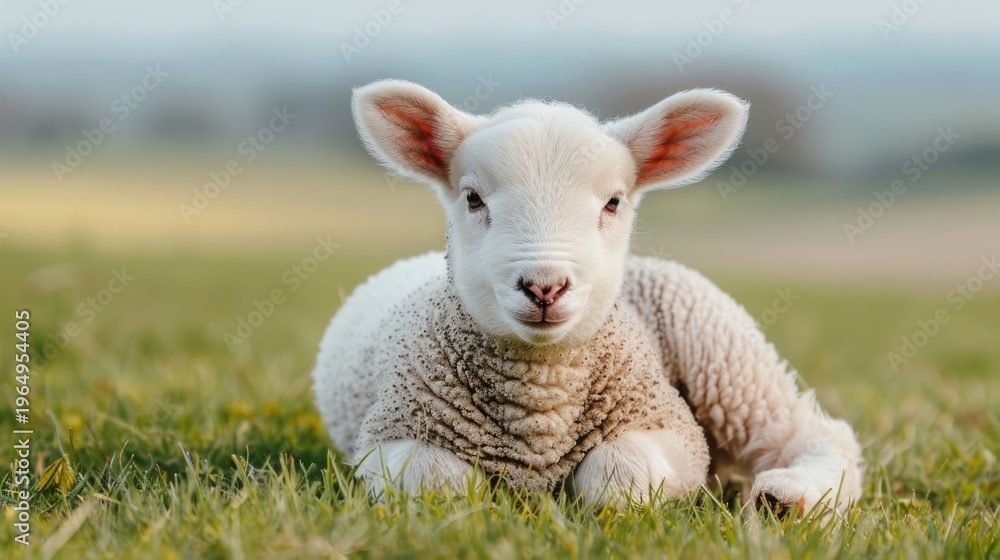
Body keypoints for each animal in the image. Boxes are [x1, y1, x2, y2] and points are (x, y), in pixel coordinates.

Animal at [312, 80, 864, 515]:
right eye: (473, 198)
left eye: (613, 202)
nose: (545, 286)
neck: (542, 393)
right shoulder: (390, 436)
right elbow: (439, 484)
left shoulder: (676, 434)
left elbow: (621, 473)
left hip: (721, 353)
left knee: (813, 434)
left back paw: (787, 498)